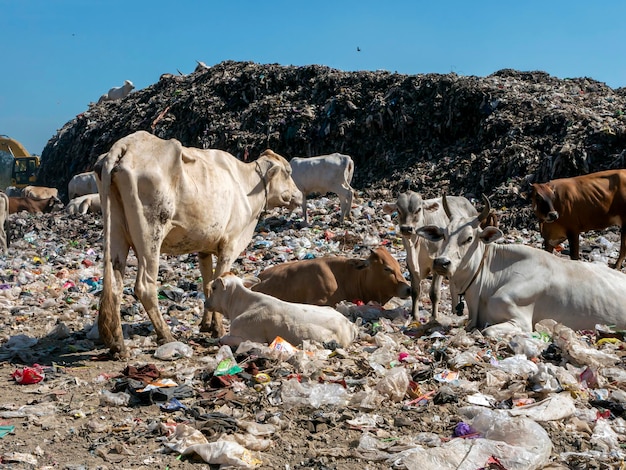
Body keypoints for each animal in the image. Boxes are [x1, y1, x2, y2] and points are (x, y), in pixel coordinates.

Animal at [95, 130, 302, 358]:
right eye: (288, 172)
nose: (299, 195)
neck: (245, 185)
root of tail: (125, 144)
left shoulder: (205, 248)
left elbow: (208, 284)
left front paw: (206, 325)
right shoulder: (229, 244)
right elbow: (220, 279)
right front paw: (218, 328)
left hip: (116, 231)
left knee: (115, 284)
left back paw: (118, 345)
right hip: (150, 233)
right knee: (145, 287)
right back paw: (166, 336)